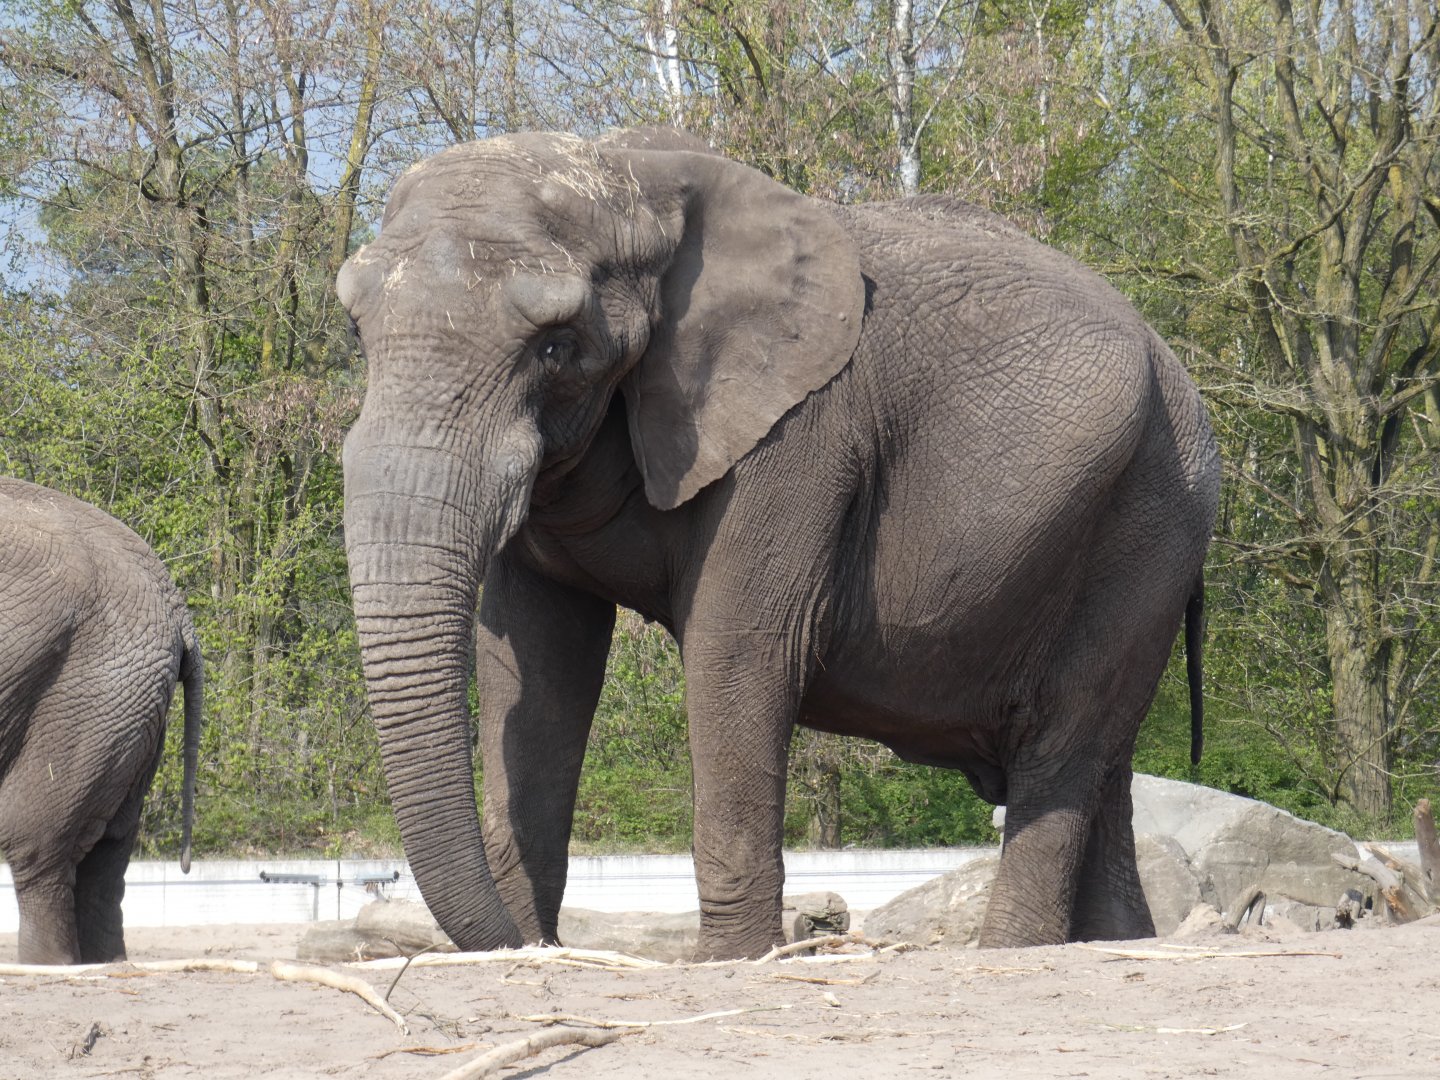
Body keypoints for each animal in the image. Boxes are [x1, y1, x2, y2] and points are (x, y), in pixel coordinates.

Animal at [0, 477, 202, 964]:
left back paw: (48, 967)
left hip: (86, 691)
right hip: (129, 705)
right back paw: (106, 962)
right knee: (110, 850)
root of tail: (176, 607)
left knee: (36, 843)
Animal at [337, 127, 1220, 960]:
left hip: (1153, 515)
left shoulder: (799, 434)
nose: (529, 943)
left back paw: (1014, 950)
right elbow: (532, 666)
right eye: (357, 330)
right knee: (1106, 758)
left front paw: (726, 962)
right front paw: (526, 951)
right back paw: (1118, 943)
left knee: (1066, 736)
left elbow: (739, 649)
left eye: (555, 345)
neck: (633, 177)